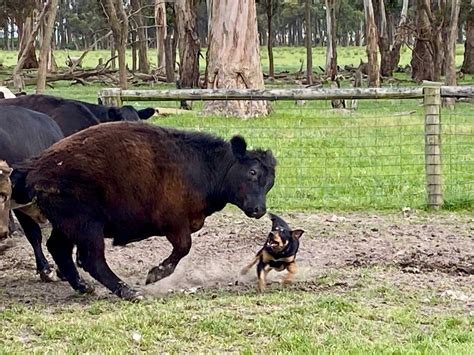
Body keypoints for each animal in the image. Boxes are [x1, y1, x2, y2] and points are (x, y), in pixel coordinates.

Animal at [11, 122, 276, 300]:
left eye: (271, 182)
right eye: (252, 172)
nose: (259, 209)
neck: (201, 163)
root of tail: (36, 165)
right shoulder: (175, 224)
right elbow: (183, 248)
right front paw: (155, 274)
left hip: (67, 226)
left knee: (59, 248)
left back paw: (84, 287)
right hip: (87, 226)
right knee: (92, 259)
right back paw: (129, 292)